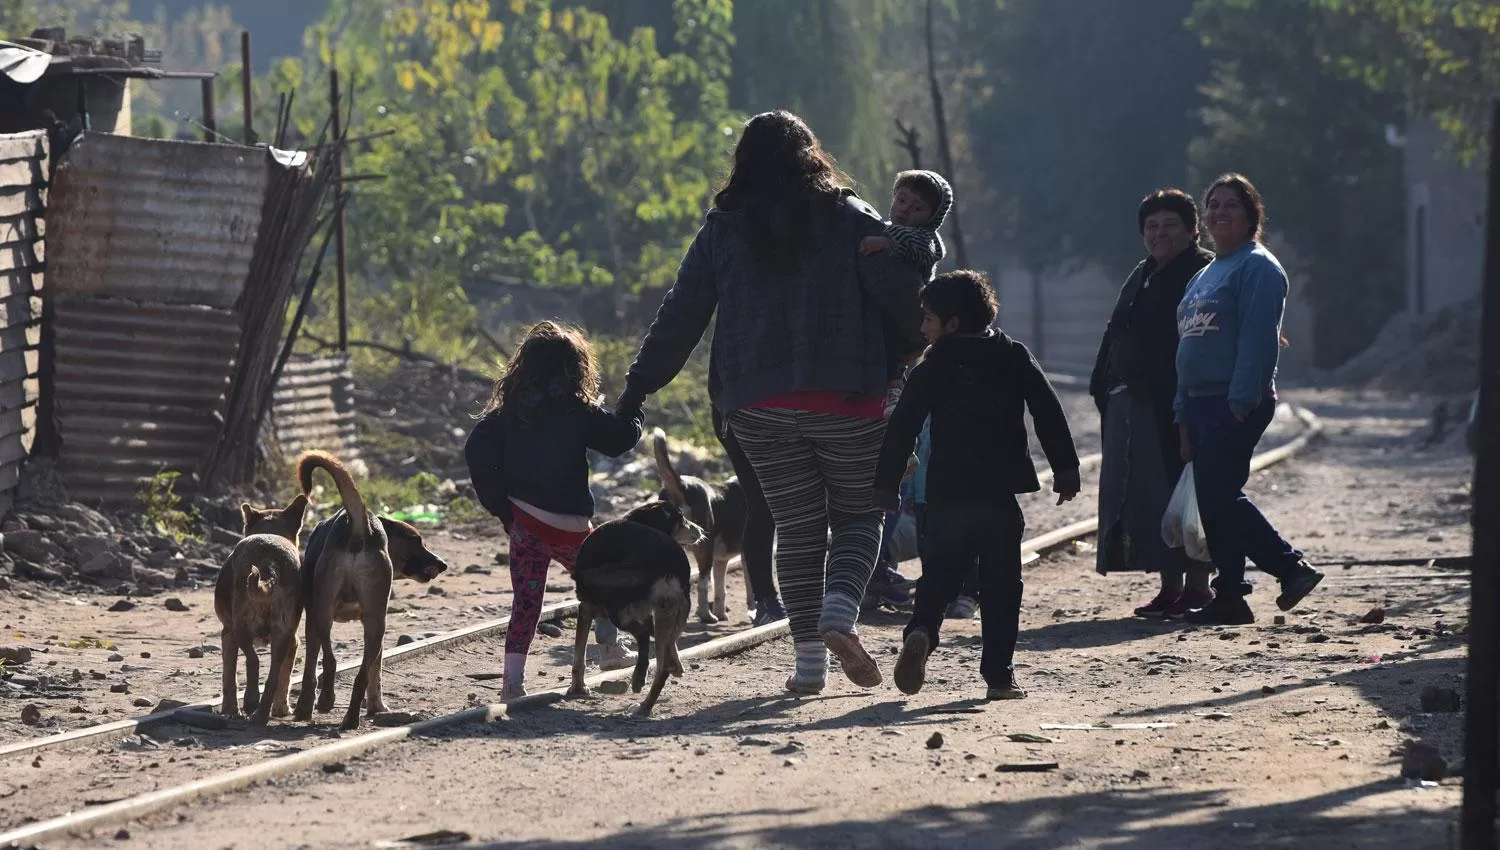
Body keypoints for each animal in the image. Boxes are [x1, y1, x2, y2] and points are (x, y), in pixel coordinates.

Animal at [213, 497, 306, 725]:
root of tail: (269, 561)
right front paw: (280, 708)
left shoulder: (227, 635)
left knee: (253, 661)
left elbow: (229, 677)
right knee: (272, 678)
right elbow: (284, 676)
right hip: (283, 633)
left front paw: (230, 710)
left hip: (240, 627)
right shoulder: (293, 640)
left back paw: (251, 699)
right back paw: (260, 715)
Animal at [289, 452, 447, 731]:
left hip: (323, 612)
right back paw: (351, 718)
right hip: (375, 623)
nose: (442, 564)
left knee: (330, 660)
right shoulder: (373, 624)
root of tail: (361, 526)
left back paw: (327, 700)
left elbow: (310, 668)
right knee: (362, 674)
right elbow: (376, 672)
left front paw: (303, 709)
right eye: (416, 540)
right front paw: (377, 707)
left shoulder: (312, 619)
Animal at [570, 503, 705, 716]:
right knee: (661, 665)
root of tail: (667, 563)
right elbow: (667, 643)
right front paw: (677, 665)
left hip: (616, 608)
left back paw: (639, 683)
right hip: (668, 610)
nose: (700, 530)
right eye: (681, 519)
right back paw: (645, 704)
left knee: (642, 635)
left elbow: (579, 655)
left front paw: (578, 687)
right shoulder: (652, 614)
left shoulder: (585, 607)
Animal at [654, 428, 750, 620]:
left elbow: (720, 589)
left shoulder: (721, 560)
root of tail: (682, 485)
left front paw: (721, 613)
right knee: (702, 585)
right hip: (704, 550)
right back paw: (707, 616)